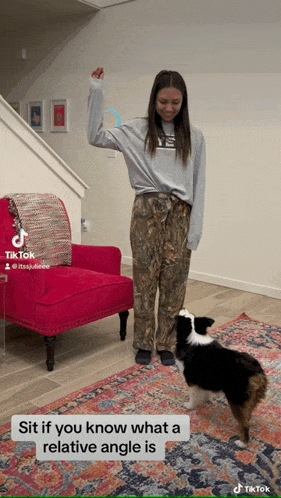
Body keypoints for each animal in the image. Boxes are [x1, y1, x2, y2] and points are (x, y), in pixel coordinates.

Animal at [175, 308, 266, 448]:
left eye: (181, 316)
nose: (182, 307)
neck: (194, 333)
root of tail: (257, 373)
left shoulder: (191, 381)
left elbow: (193, 397)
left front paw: (188, 406)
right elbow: (206, 393)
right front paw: (209, 401)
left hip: (235, 399)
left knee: (244, 423)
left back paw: (242, 443)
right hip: (250, 399)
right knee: (247, 416)